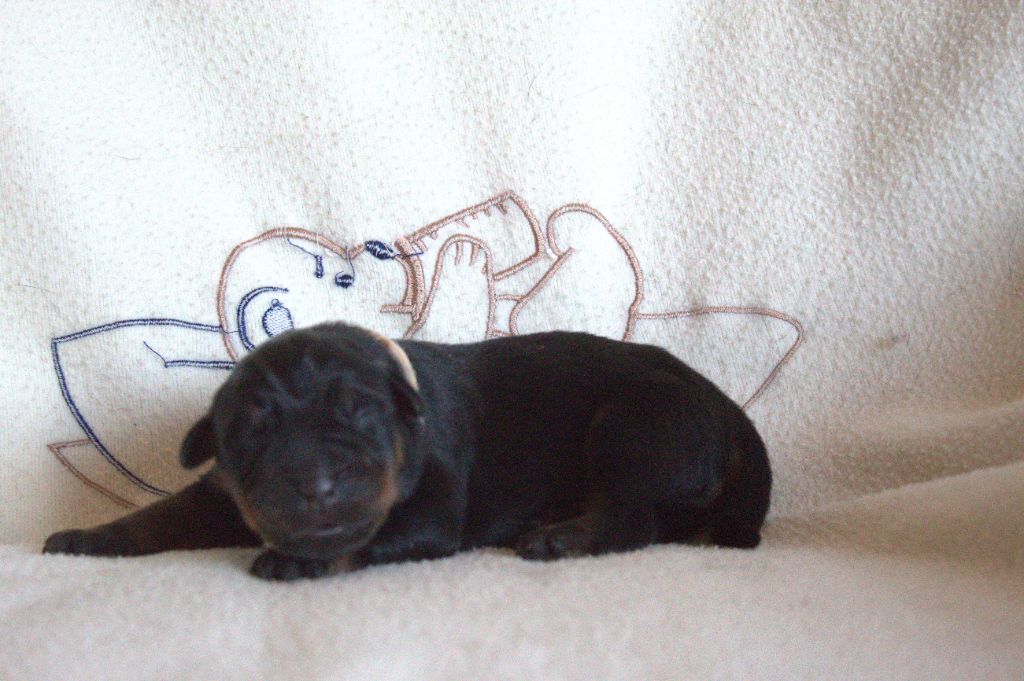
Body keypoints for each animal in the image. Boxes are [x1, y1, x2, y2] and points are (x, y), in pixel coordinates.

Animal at [44, 322, 771, 581]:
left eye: (362, 419)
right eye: (254, 434)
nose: (315, 484)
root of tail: (734, 414)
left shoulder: (431, 503)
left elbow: (371, 535)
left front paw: (294, 560)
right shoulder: (220, 493)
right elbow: (159, 515)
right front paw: (87, 538)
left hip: (631, 423)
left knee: (634, 516)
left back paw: (559, 538)